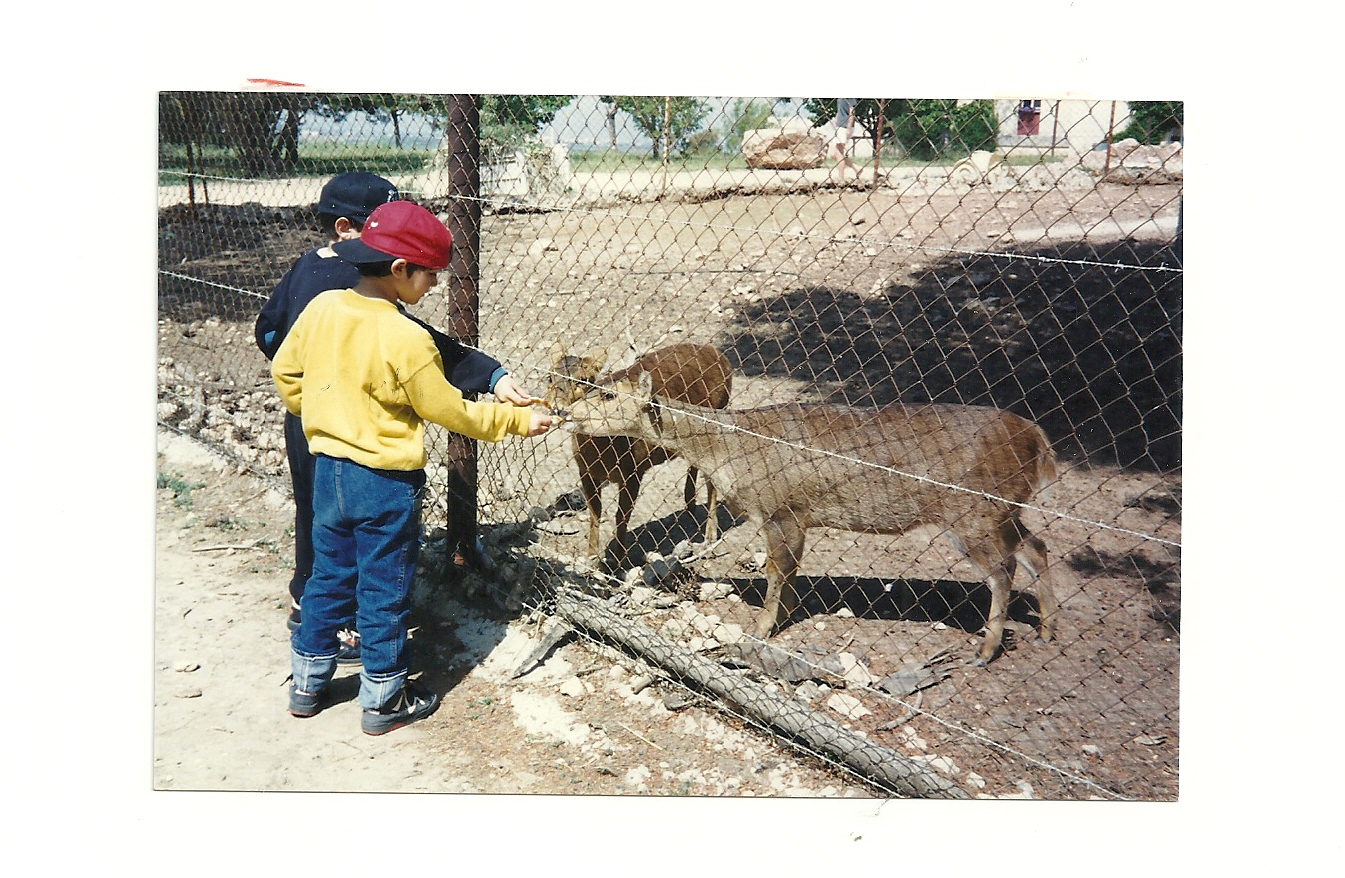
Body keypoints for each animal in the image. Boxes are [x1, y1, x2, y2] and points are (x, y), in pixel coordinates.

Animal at [543, 338, 731, 564]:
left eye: (583, 380)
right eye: (549, 376)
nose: (557, 408)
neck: (604, 451)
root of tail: (722, 358)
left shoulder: (634, 469)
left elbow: (621, 515)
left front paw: (617, 561)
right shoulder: (585, 470)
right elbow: (595, 512)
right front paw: (591, 557)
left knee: (712, 481)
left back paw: (709, 537)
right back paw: (690, 503)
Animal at [564, 371, 1059, 664]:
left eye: (607, 393)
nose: (566, 411)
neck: (731, 452)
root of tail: (1038, 442)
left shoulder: (780, 508)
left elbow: (777, 572)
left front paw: (760, 630)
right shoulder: (792, 515)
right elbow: (789, 573)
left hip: (972, 512)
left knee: (1003, 570)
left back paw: (987, 648)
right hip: (1003, 509)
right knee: (1035, 547)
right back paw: (1047, 630)